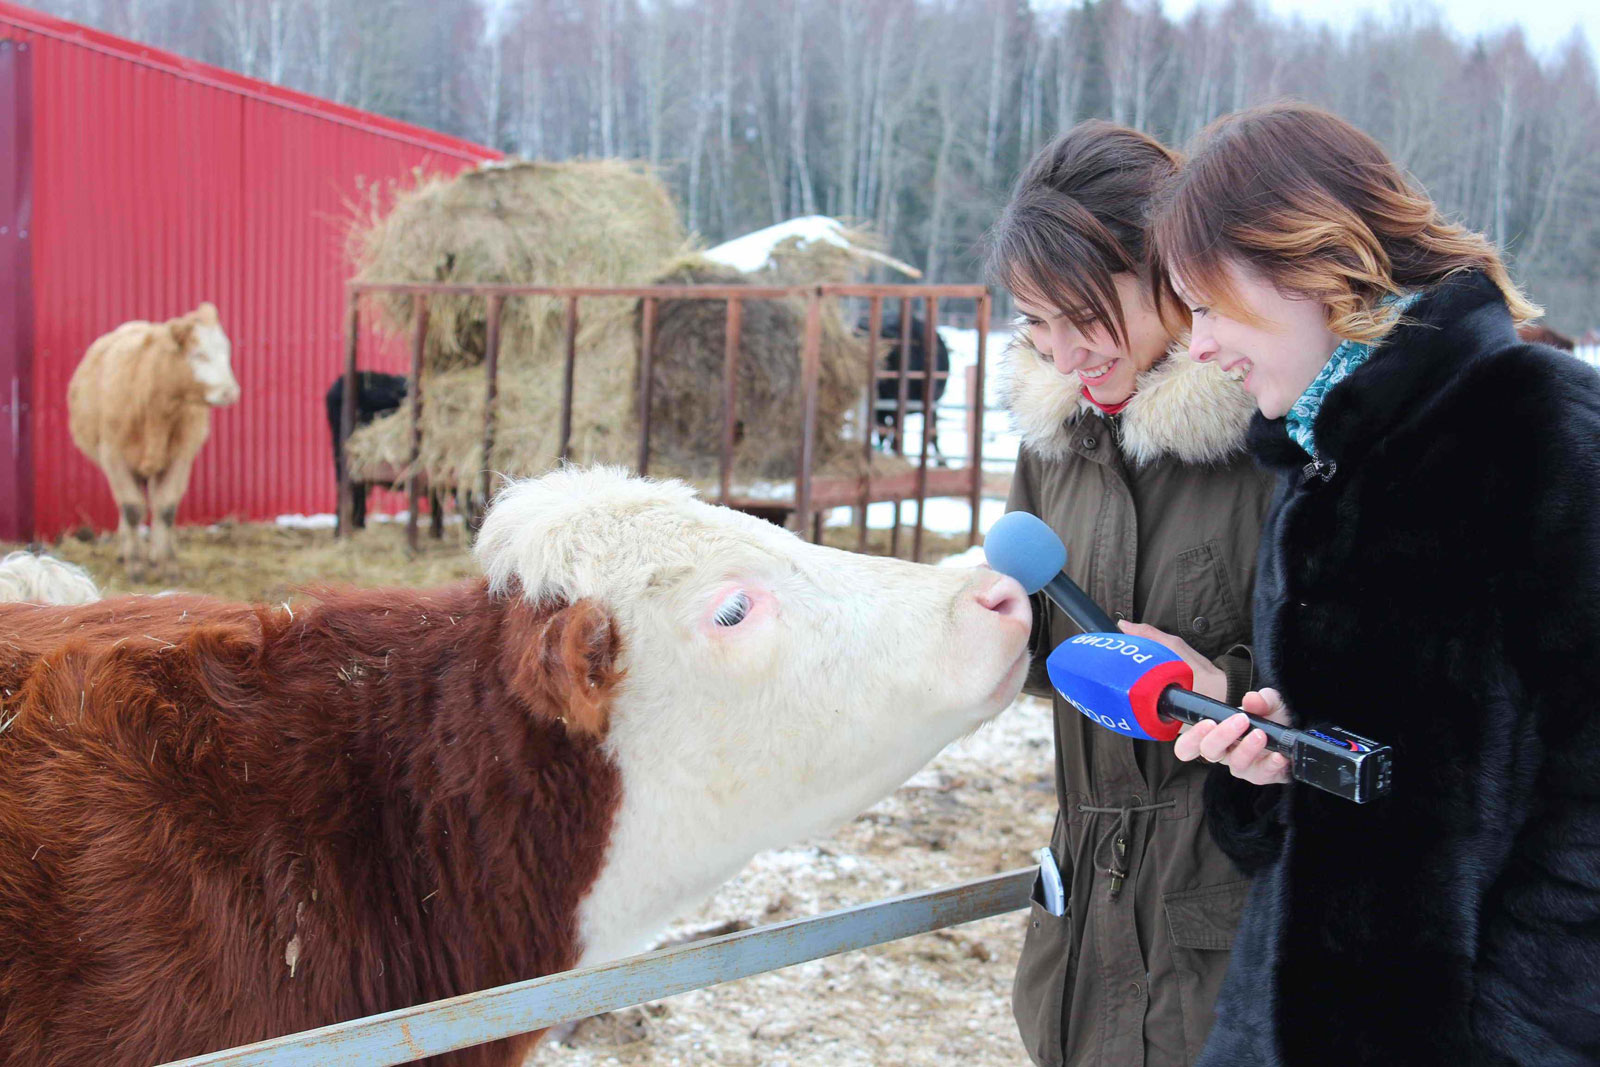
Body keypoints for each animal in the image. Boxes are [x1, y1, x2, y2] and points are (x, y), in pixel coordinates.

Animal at [68, 300, 240, 585]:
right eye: (199, 355)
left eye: (226, 352)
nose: (230, 392)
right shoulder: (113, 457)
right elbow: (131, 509)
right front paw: (136, 567)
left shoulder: (180, 458)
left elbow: (166, 509)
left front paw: (167, 566)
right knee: (128, 508)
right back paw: (127, 552)